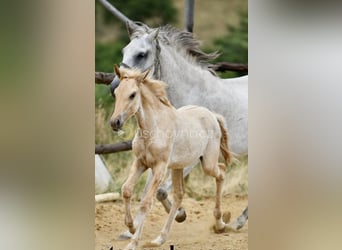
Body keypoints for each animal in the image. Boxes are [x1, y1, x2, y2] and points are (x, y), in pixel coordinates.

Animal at [111, 65, 231, 249]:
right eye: (116, 93)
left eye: (132, 94)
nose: (115, 122)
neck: (152, 128)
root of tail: (212, 114)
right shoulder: (140, 163)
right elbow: (126, 190)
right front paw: (131, 227)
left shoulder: (159, 168)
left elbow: (146, 203)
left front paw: (133, 242)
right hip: (178, 166)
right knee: (179, 195)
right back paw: (160, 238)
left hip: (207, 163)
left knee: (222, 171)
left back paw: (220, 224)